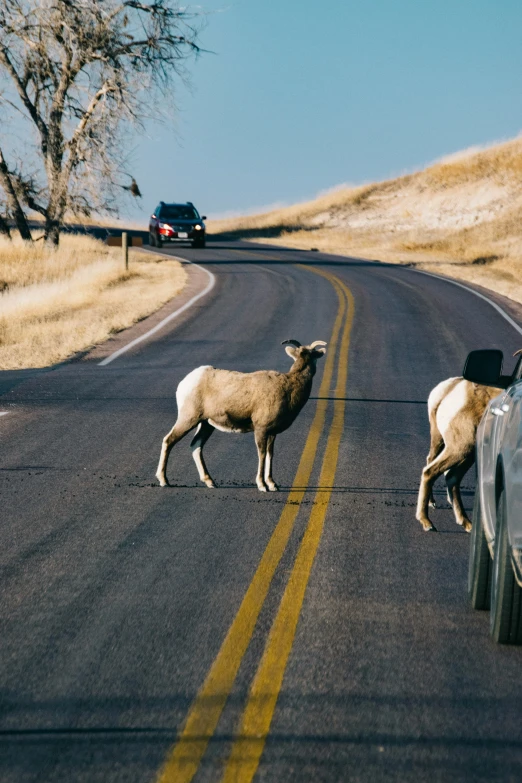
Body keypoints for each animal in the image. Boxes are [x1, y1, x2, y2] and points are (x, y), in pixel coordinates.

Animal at [154, 342, 324, 494]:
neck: (289, 387)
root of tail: (186, 382)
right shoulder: (261, 430)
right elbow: (262, 454)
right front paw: (262, 486)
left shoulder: (272, 433)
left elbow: (270, 454)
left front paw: (273, 484)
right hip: (188, 419)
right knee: (168, 441)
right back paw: (164, 481)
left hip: (206, 424)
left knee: (196, 446)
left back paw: (210, 482)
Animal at [414, 378, 500, 532]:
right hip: (461, 448)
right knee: (431, 471)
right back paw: (427, 522)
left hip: (459, 449)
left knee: (449, 475)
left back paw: (465, 522)